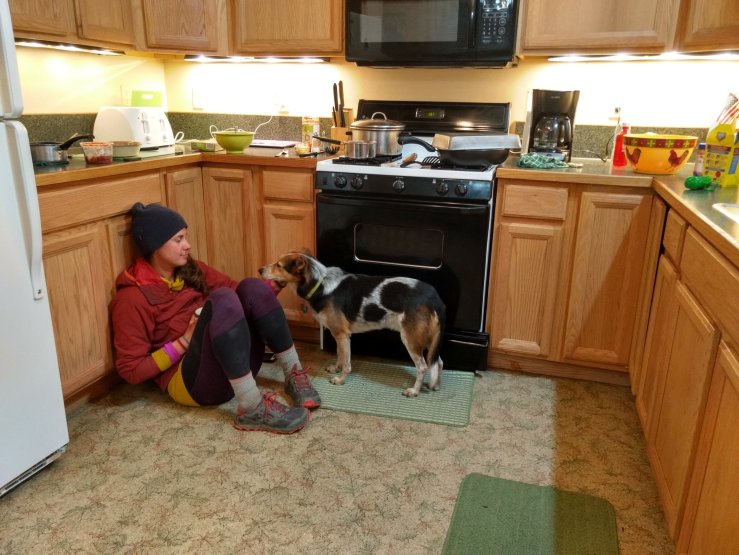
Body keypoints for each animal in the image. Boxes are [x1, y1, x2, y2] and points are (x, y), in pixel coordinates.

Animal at [259, 252, 445, 397]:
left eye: (279, 265)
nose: (259, 270)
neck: (320, 283)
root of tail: (434, 297)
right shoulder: (339, 335)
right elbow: (340, 355)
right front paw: (335, 368)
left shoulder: (342, 335)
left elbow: (347, 364)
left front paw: (340, 380)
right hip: (428, 339)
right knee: (438, 362)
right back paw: (435, 386)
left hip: (411, 339)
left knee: (423, 367)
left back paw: (414, 391)